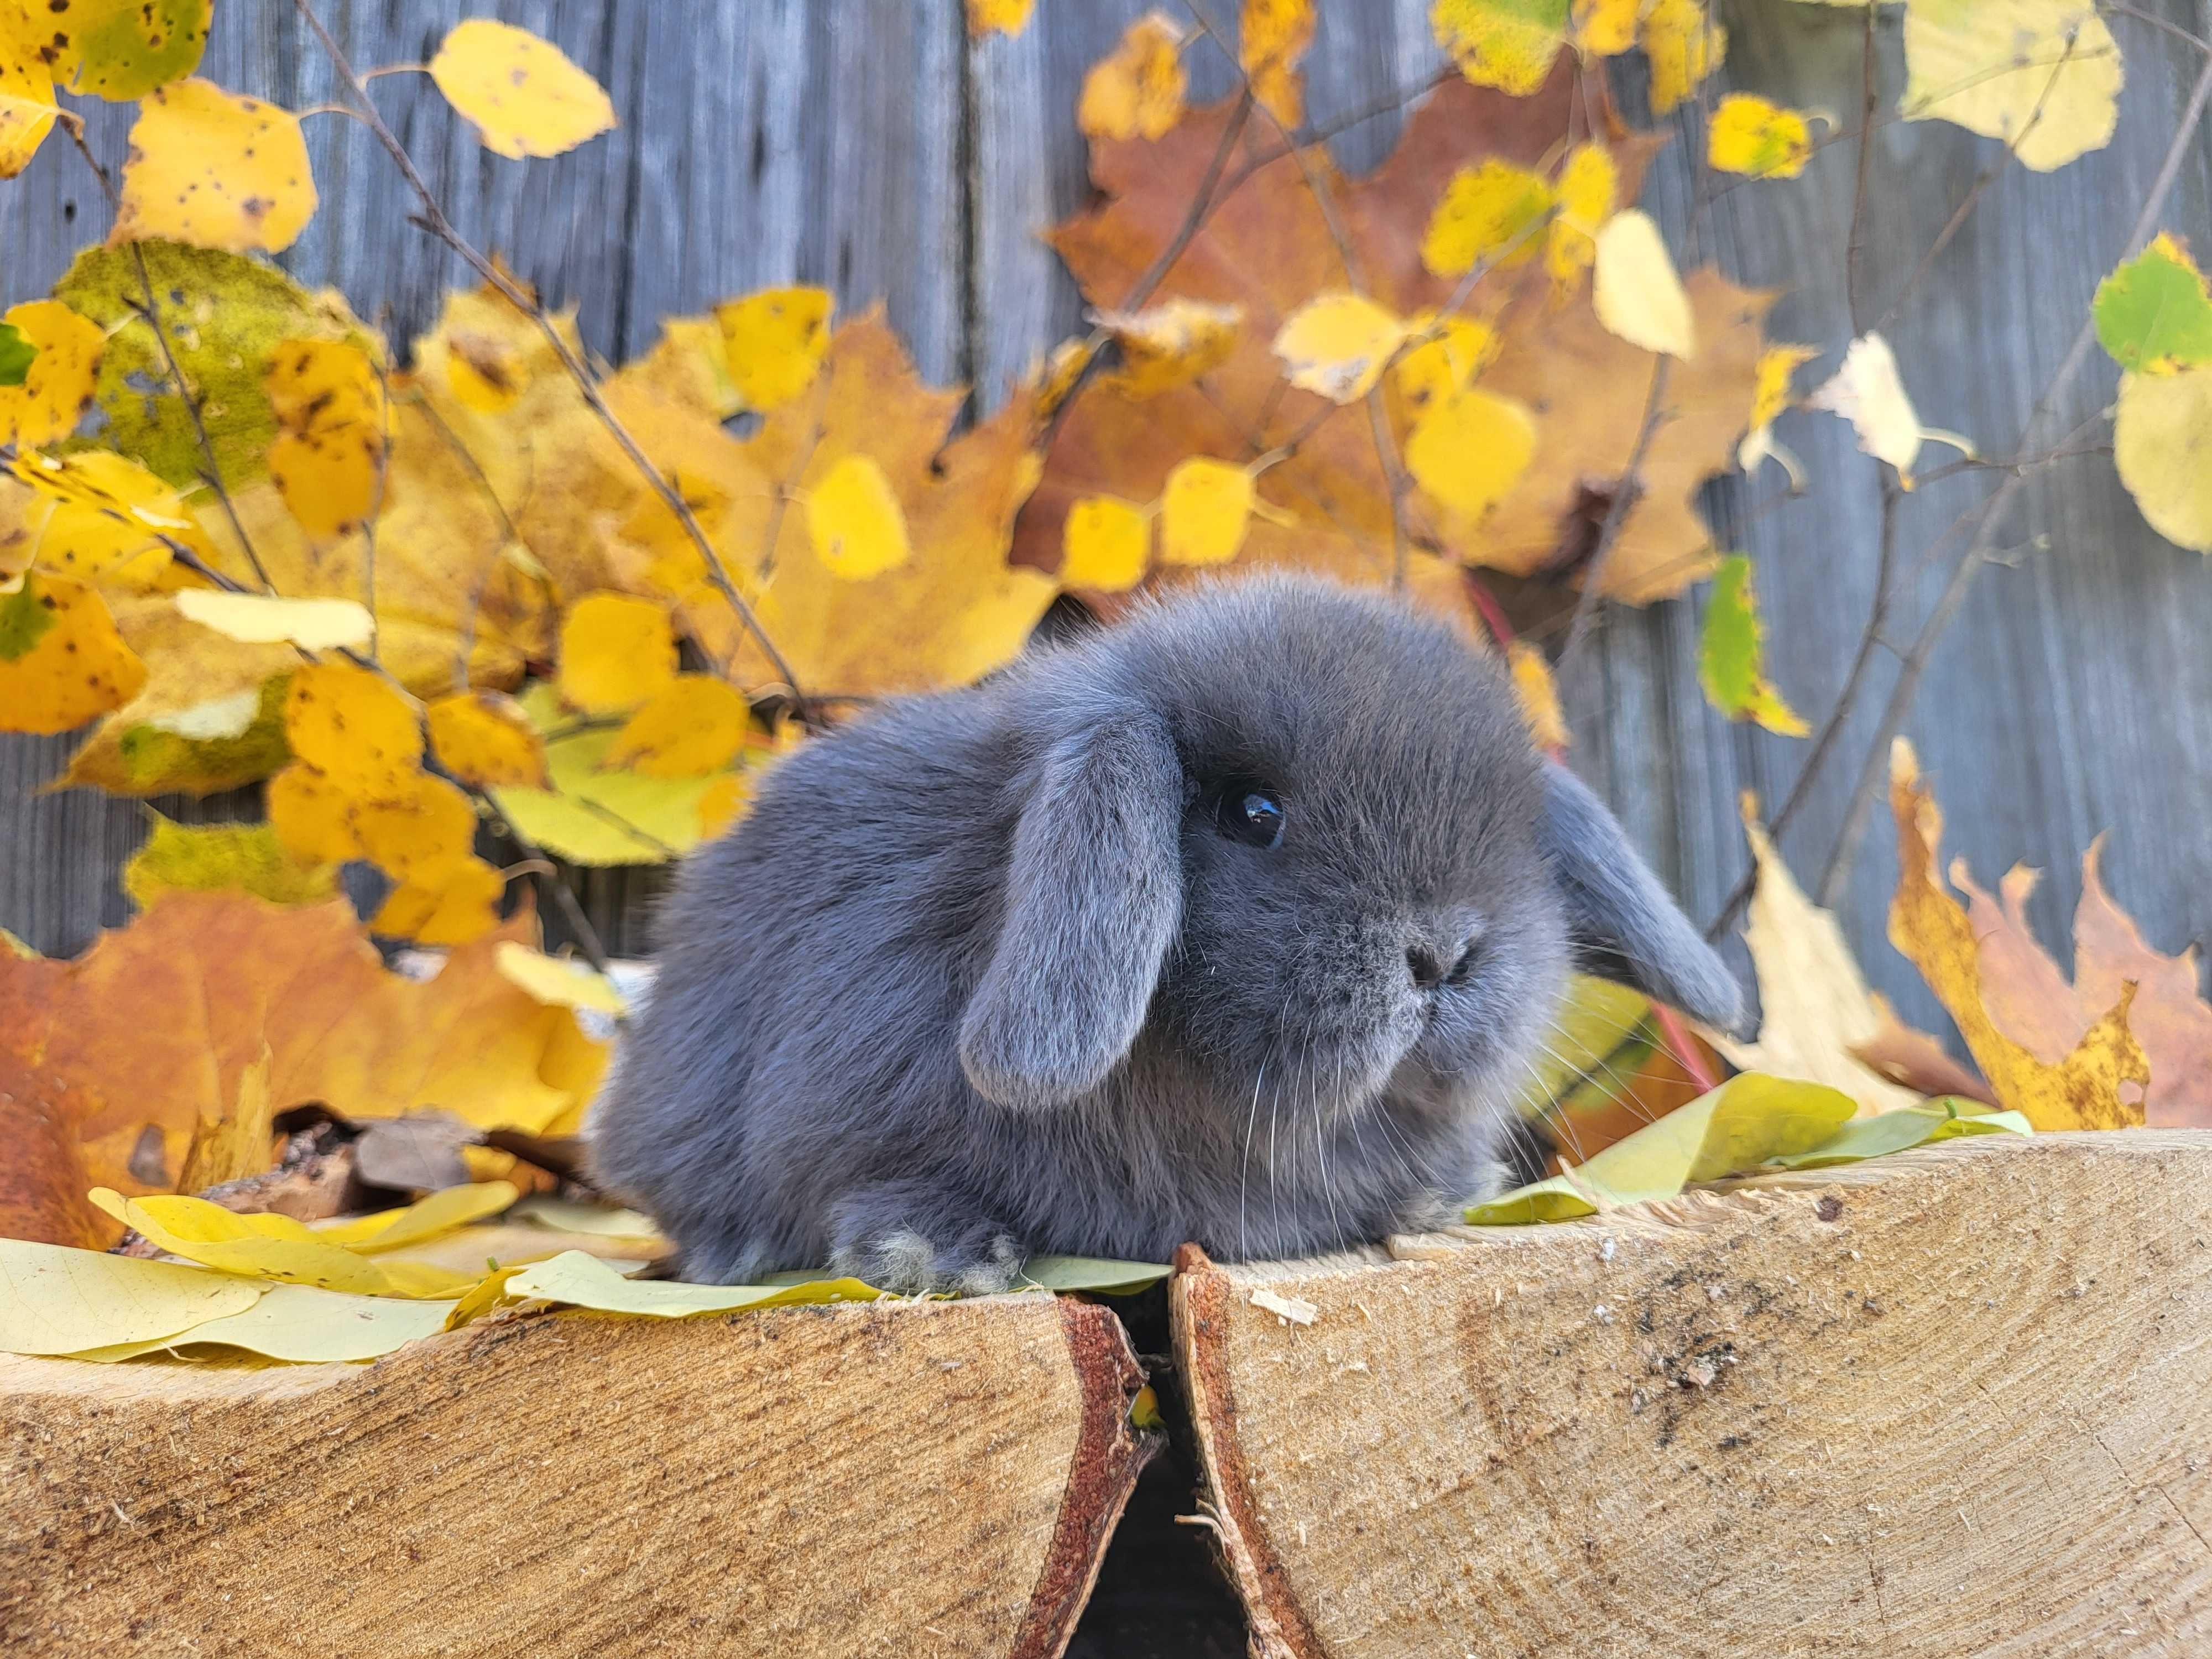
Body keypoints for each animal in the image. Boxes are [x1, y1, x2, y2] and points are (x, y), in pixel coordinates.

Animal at [588, 580, 1743, 1292]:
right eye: (1253, 814)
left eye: (1515, 837)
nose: (1446, 955)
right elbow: (862, 1183)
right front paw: (940, 1255)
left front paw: (1444, 1192)